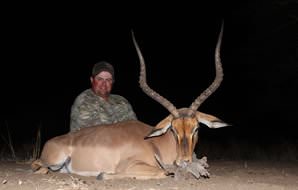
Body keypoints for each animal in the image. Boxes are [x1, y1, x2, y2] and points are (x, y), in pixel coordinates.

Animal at [31, 23, 228, 180]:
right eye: (173, 129)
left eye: (196, 128)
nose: (183, 161)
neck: (154, 143)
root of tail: (51, 142)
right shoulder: (132, 165)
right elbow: (162, 171)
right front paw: (103, 175)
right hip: (53, 161)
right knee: (39, 167)